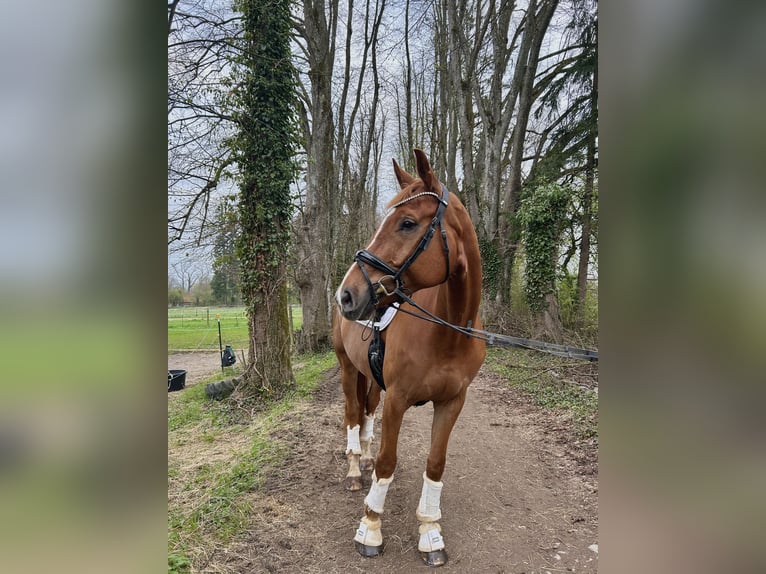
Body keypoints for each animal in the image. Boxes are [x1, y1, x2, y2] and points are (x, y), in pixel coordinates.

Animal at [332, 149, 486, 566]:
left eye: (407, 223)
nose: (347, 294)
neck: (448, 333)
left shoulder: (452, 401)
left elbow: (435, 463)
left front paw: (430, 531)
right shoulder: (398, 399)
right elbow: (389, 459)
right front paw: (370, 527)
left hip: (371, 378)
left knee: (367, 413)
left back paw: (364, 461)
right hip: (347, 368)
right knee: (353, 415)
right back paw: (355, 470)